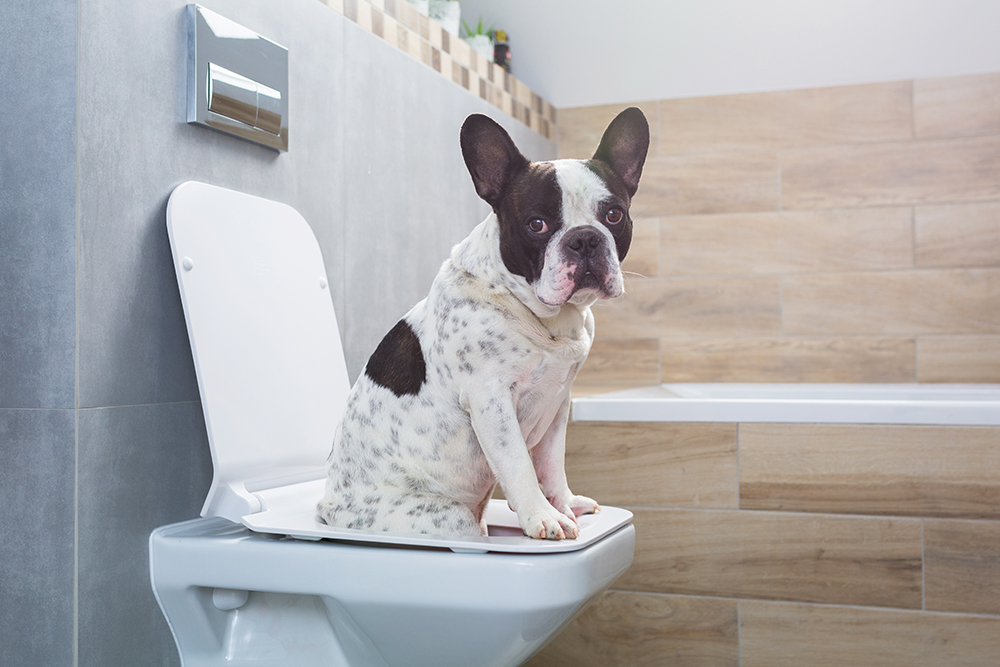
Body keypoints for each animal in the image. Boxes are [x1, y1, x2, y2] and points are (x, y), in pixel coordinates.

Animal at [316, 107, 652, 540]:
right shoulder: (491, 402)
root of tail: (328, 511)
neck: (544, 317)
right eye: (536, 224)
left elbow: (552, 462)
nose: (584, 238)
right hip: (446, 522)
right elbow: (519, 464)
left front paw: (562, 503)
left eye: (613, 215)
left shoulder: (559, 402)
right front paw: (542, 516)